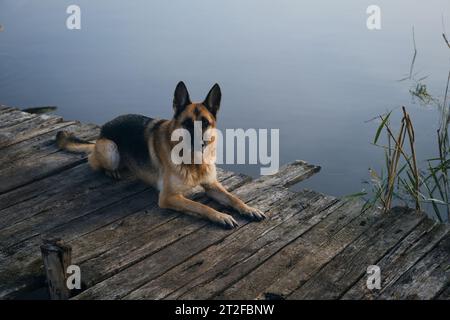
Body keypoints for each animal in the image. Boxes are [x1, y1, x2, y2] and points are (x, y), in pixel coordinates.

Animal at [57, 82, 266, 228]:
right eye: (187, 123)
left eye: (205, 123)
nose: (199, 144)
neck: (193, 162)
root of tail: (102, 131)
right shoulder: (168, 197)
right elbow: (202, 206)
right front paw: (221, 216)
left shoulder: (212, 185)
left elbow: (233, 198)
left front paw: (249, 209)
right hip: (111, 150)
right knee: (94, 162)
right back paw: (111, 171)